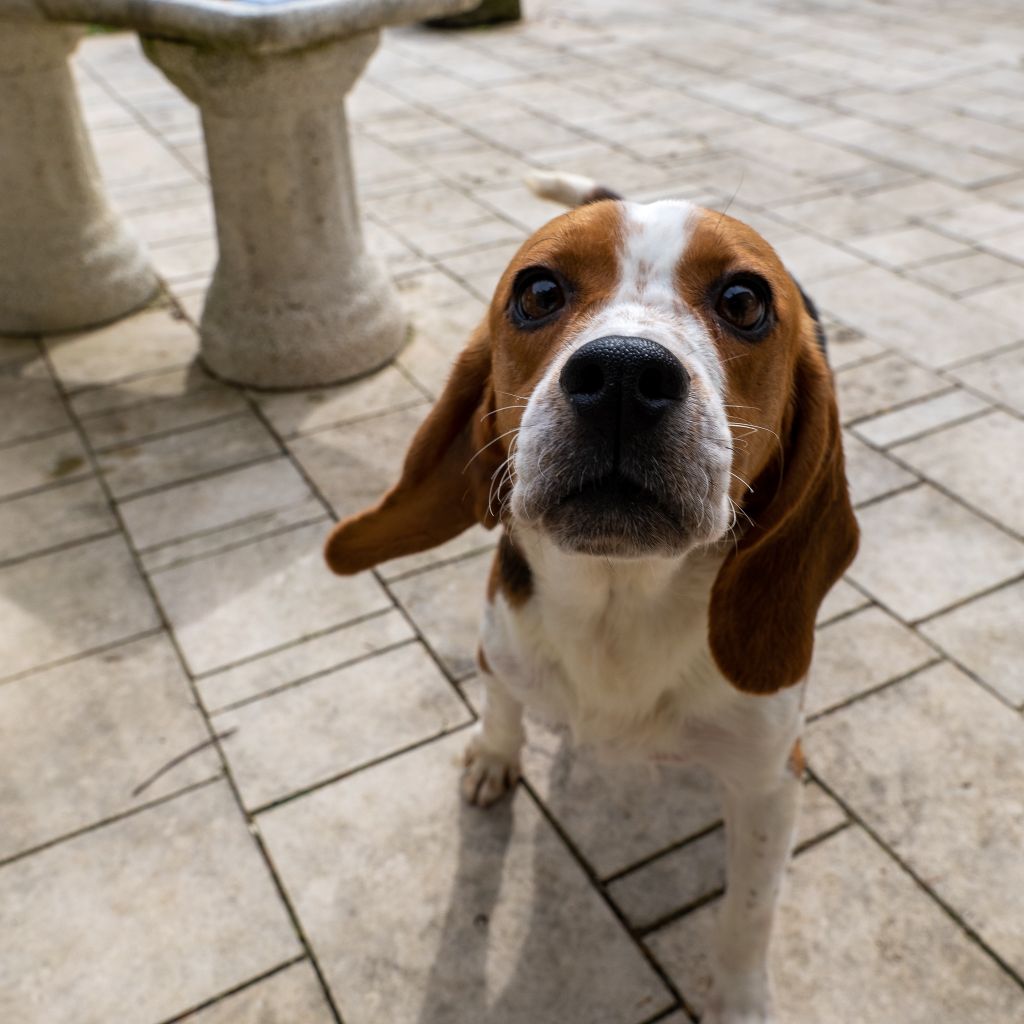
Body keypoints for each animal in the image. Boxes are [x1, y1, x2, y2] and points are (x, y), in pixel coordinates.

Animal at [324, 171, 859, 1024]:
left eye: (745, 301)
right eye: (538, 290)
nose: (623, 376)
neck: (619, 602)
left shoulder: (772, 780)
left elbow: (749, 915)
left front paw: (740, 1001)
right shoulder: (500, 639)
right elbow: (501, 699)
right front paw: (495, 754)